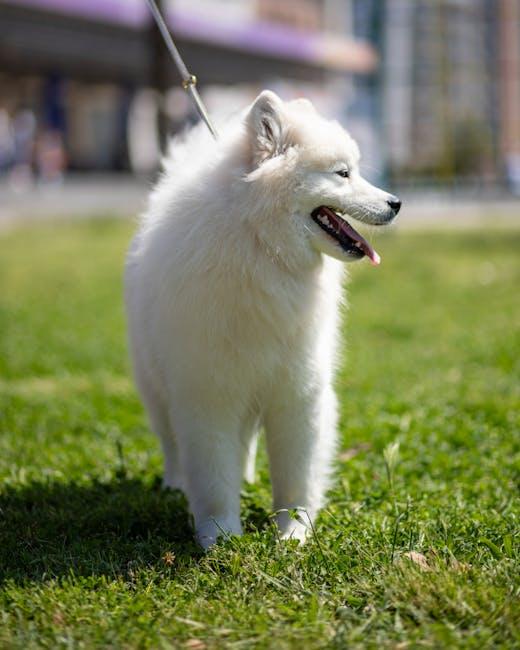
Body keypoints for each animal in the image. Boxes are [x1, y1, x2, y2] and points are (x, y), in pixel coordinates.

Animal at [126, 90, 402, 548]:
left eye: (356, 170)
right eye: (342, 173)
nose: (396, 203)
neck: (262, 249)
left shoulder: (296, 389)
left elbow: (295, 476)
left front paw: (293, 533)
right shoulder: (208, 392)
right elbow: (213, 477)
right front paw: (220, 538)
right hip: (155, 385)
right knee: (171, 443)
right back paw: (175, 484)